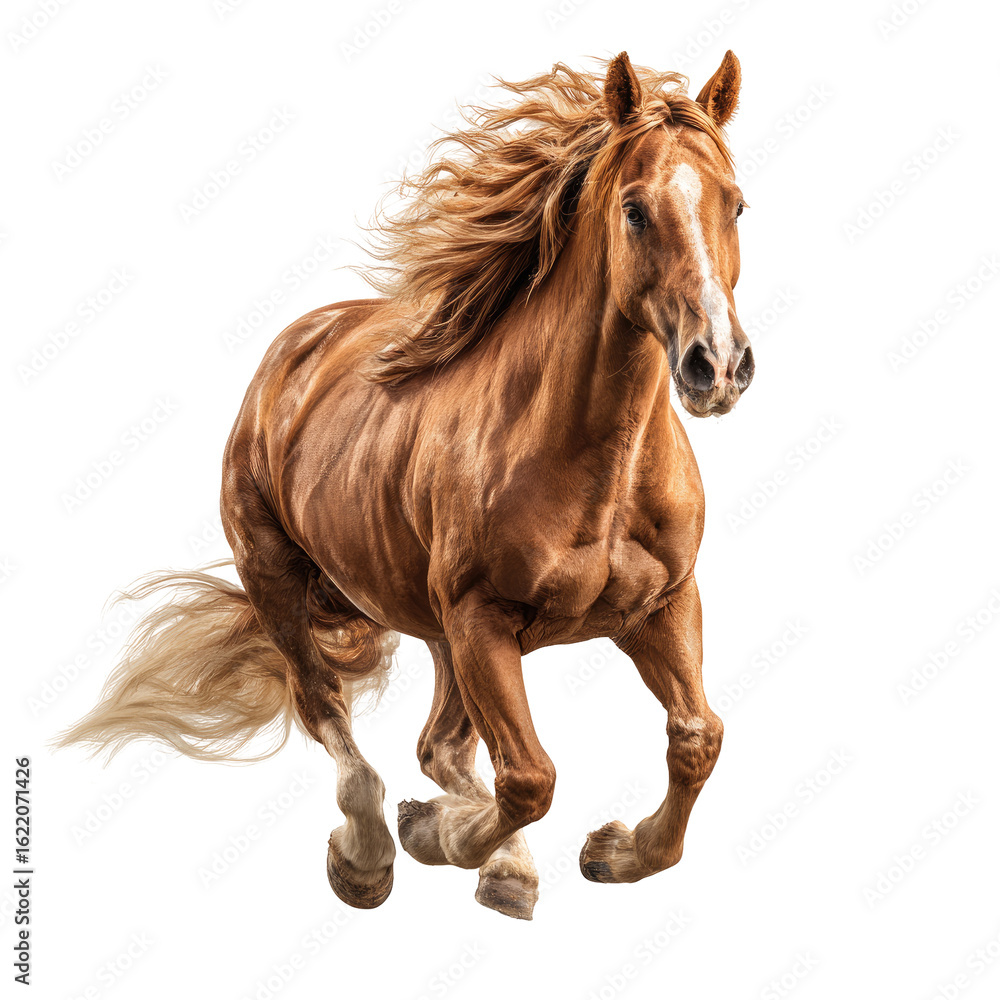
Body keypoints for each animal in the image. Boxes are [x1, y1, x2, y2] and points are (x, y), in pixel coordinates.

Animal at [59, 50, 754, 921]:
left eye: (737, 204)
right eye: (634, 210)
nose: (717, 365)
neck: (599, 472)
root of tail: (297, 346)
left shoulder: (659, 606)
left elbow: (699, 739)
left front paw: (614, 852)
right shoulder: (481, 618)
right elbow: (530, 779)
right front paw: (435, 836)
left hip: (444, 633)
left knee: (440, 744)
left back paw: (496, 864)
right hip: (282, 579)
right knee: (331, 711)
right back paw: (372, 856)